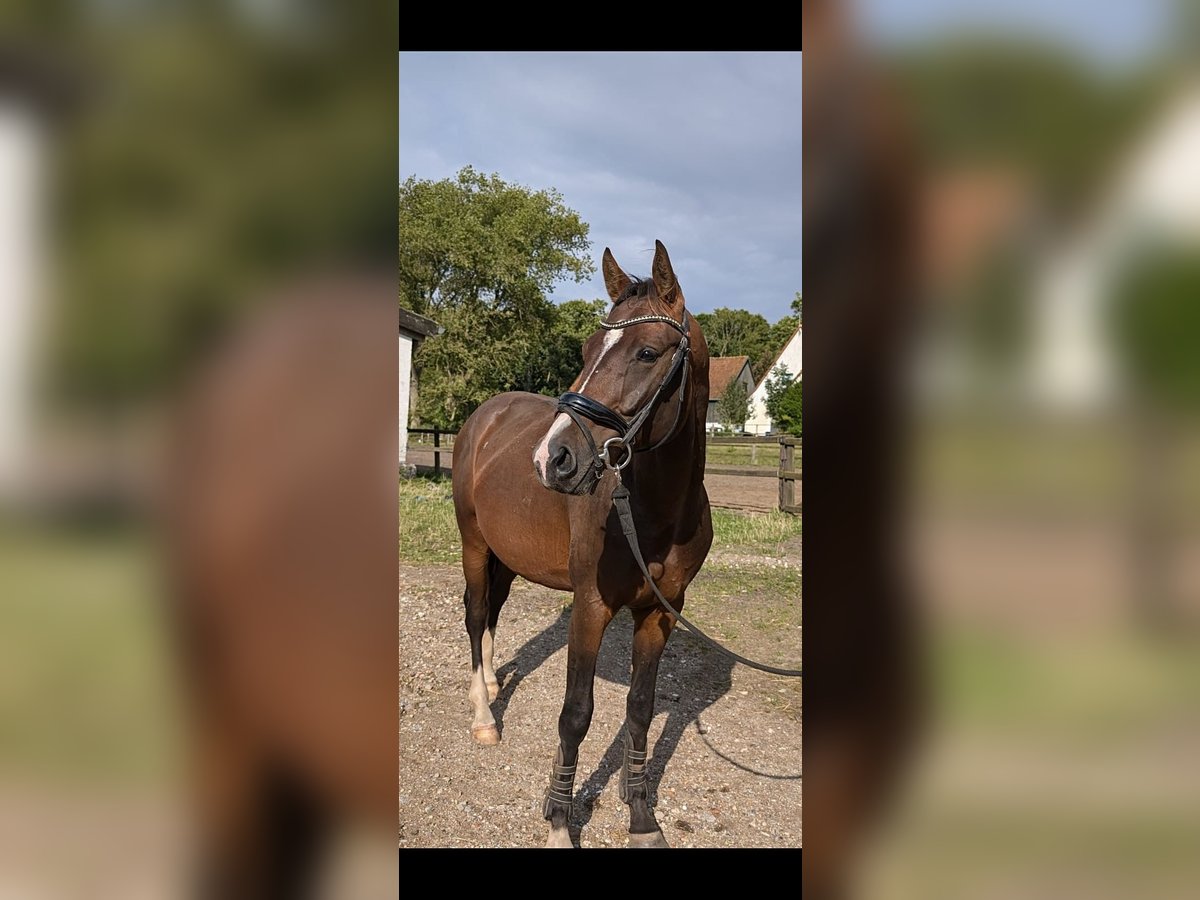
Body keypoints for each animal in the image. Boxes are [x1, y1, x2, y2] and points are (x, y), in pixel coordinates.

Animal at [451, 243, 710, 849]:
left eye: (647, 352)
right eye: (589, 349)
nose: (554, 458)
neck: (653, 515)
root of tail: (484, 416)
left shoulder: (660, 612)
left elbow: (639, 709)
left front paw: (641, 817)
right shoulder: (591, 609)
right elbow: (576, 714)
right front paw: (559, 823)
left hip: (507, 557)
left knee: (493, 610)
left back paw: (493, 680)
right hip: (474, 543)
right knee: (475, 613)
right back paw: (484, 716)